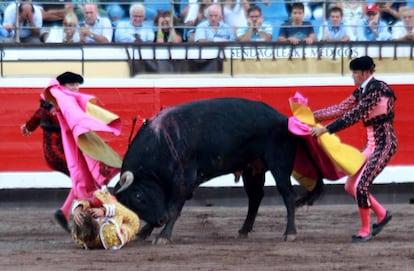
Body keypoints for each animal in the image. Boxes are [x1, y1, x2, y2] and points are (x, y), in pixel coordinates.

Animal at [115, 98, 322, 246]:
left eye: (138, 195)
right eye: (130, 204)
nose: (160, 220)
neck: (161, 141)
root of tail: (284, 119)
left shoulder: (184, 178)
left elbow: (174, 206)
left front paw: (163, 236)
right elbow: (170, 205)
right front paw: (144, 232)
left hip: (279, 166)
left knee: (288, 196)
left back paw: (290, 233)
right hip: (252, 169)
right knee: (255, 197)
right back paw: (243, 231)